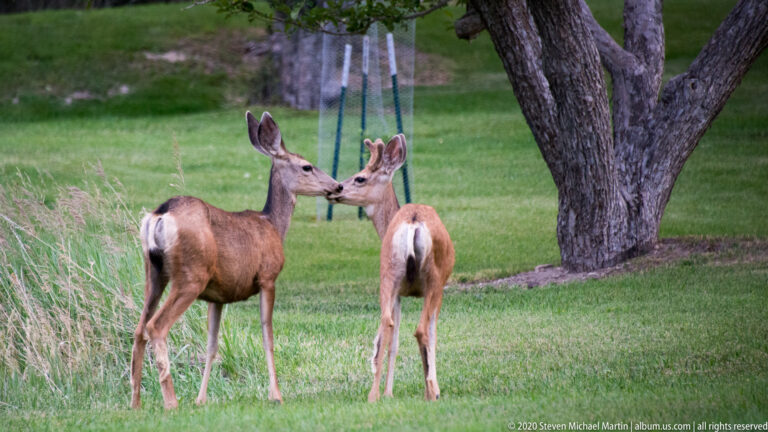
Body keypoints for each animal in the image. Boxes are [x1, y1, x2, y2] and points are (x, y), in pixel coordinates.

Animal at [130, 111, 341, 409]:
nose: (337, 185)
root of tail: (160, 214)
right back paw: (171, 403)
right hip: (190, 275)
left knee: (139, 329)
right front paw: (276, 395)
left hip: (154, 271)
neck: (273, 225)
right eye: (307, 166)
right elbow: (268, 338)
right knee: (155, 326)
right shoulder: (268, 277)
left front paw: (201, 399)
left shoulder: (217, 295)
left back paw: (135, 403)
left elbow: (212, 345)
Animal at [327, 134, 455, 402]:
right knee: (421, 331)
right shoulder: (437, 289)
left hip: (387, 274)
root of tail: (413, 221)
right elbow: (433, 336)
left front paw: (388, 392)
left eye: (360, 177)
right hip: (433, 279)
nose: (336, 188)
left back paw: (373, 395)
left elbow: (392, 342)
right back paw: (429, 393)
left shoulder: (399, 293)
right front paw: (435, 389)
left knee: (386, 323)